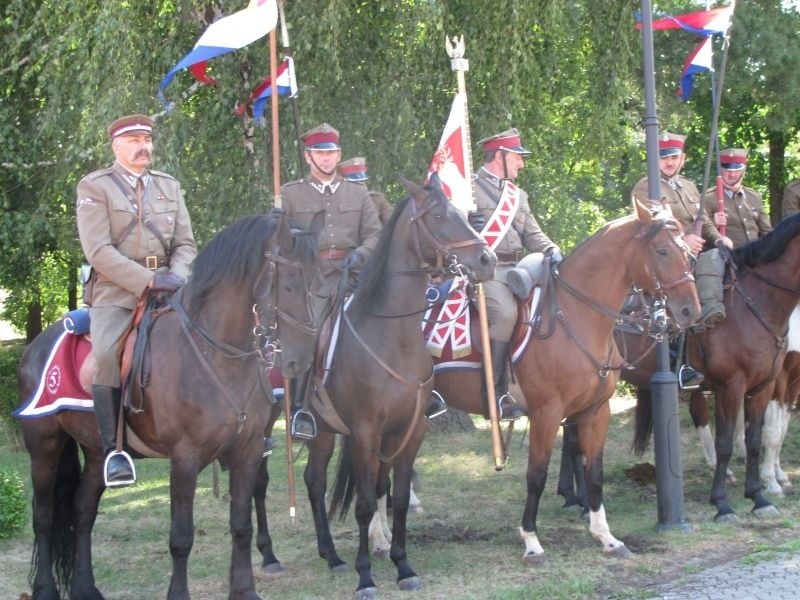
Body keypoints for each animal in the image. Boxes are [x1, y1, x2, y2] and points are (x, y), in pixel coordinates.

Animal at [14, 213, 322, 600]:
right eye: (290, 283)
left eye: (321, 281)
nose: (302, 360)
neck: (214, 353)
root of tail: (36, 345)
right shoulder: (184, 458)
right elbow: (181, 537)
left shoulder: (248, 451)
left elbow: (241, 524)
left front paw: (244, 590)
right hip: (44, 445)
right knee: (43, 515)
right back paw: (44, 589)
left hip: (98, 452)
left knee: (82, 510)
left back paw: (86, 587)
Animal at [266, 176, 494, 596]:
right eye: (439, 217)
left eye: (462, 213)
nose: (487, 261)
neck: (393, 335)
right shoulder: (364, 431)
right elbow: (366, 503)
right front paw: (366, 576)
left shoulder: (408, 430)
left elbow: (396, 496)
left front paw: (403, 566)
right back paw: (275, 557)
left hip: (325, 432)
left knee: (314, 480)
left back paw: (332, 556)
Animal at [428, 199, 696, 560]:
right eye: (663, 250)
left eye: (688, 252)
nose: (690, 310)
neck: (578, 316)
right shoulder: (547, 414)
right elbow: (536, 475)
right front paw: (531, 539)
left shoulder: (596, 412)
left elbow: (594, 471)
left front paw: (606, 536)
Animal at [624, 214, 800, 520]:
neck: (755, 301)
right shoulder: (731, 386)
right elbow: (726, 443)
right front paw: (722, 503)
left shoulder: (763, 387)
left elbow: (755, 440)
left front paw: (759, 498)